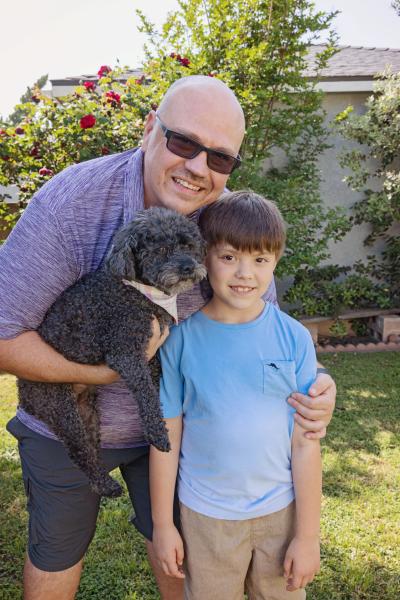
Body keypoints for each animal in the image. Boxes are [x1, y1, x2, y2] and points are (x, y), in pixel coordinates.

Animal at [18, 209, 206, 500]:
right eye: (162, 249)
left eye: (188, 245)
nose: (188, 267)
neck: (137, 290)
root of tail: (22, 393)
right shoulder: (125, 352)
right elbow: (146, 394)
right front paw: (157, 433)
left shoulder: (151, 356)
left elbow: (156, 386)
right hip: (58, 405)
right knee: (79, 450)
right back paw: (106, 484)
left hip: (88, 413)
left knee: (89, 447)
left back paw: (103, 484)